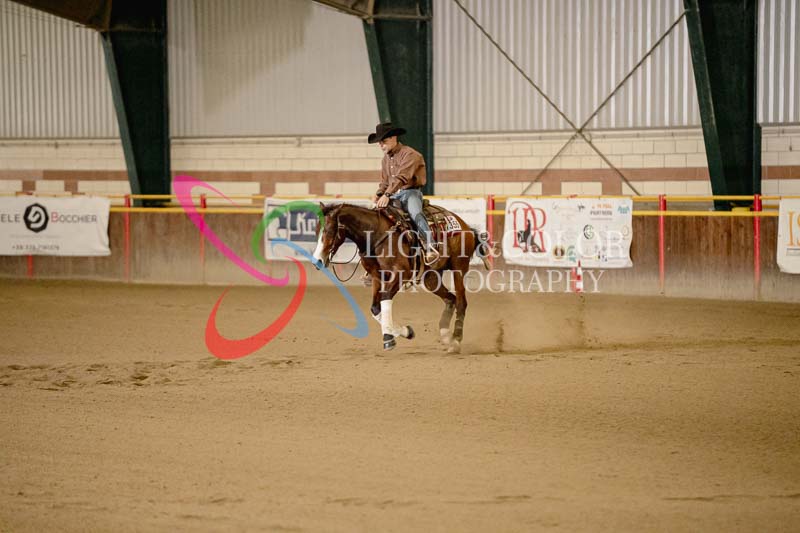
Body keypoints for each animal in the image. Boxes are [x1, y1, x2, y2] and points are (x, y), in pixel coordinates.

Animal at [311, 202, 487, 353]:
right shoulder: (376, 277)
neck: (375, 235)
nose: (317, 261)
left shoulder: (401, 274)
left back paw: (456, 339)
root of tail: (465, 226)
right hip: (431, 278)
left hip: (459, 267)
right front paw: (406, 332)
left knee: (461, 302)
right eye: (316, 230)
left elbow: (385, 298)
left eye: (329, 230)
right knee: (450, 299)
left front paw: (388, 338)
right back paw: (446, 337)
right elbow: (375, 308)